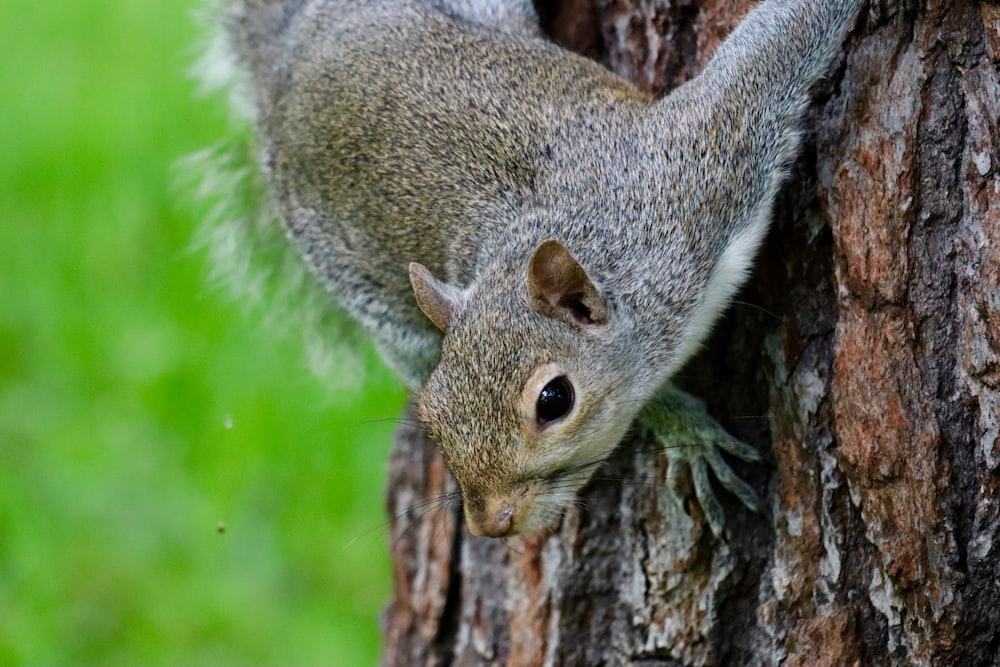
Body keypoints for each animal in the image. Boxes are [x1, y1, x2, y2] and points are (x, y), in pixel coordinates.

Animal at [217, 0, 860, 536]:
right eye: (431, 414)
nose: (490, 524)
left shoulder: (706, 164)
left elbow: (778, 45)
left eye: (555, 400)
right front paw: (688, 432)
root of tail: (286, 60)